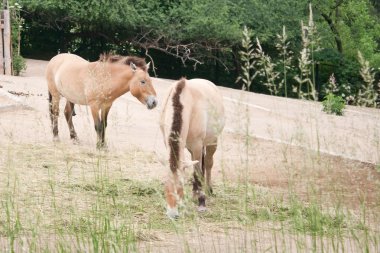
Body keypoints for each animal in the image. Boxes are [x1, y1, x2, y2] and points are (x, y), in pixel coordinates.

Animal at [159, 78, 224, 218]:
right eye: (166, 185)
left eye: (181, 185)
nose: (173, 214)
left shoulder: (197, 145)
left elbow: (197, 172)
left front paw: (202, 202)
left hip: (212, 142)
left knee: (208, 164)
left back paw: (208, 190)